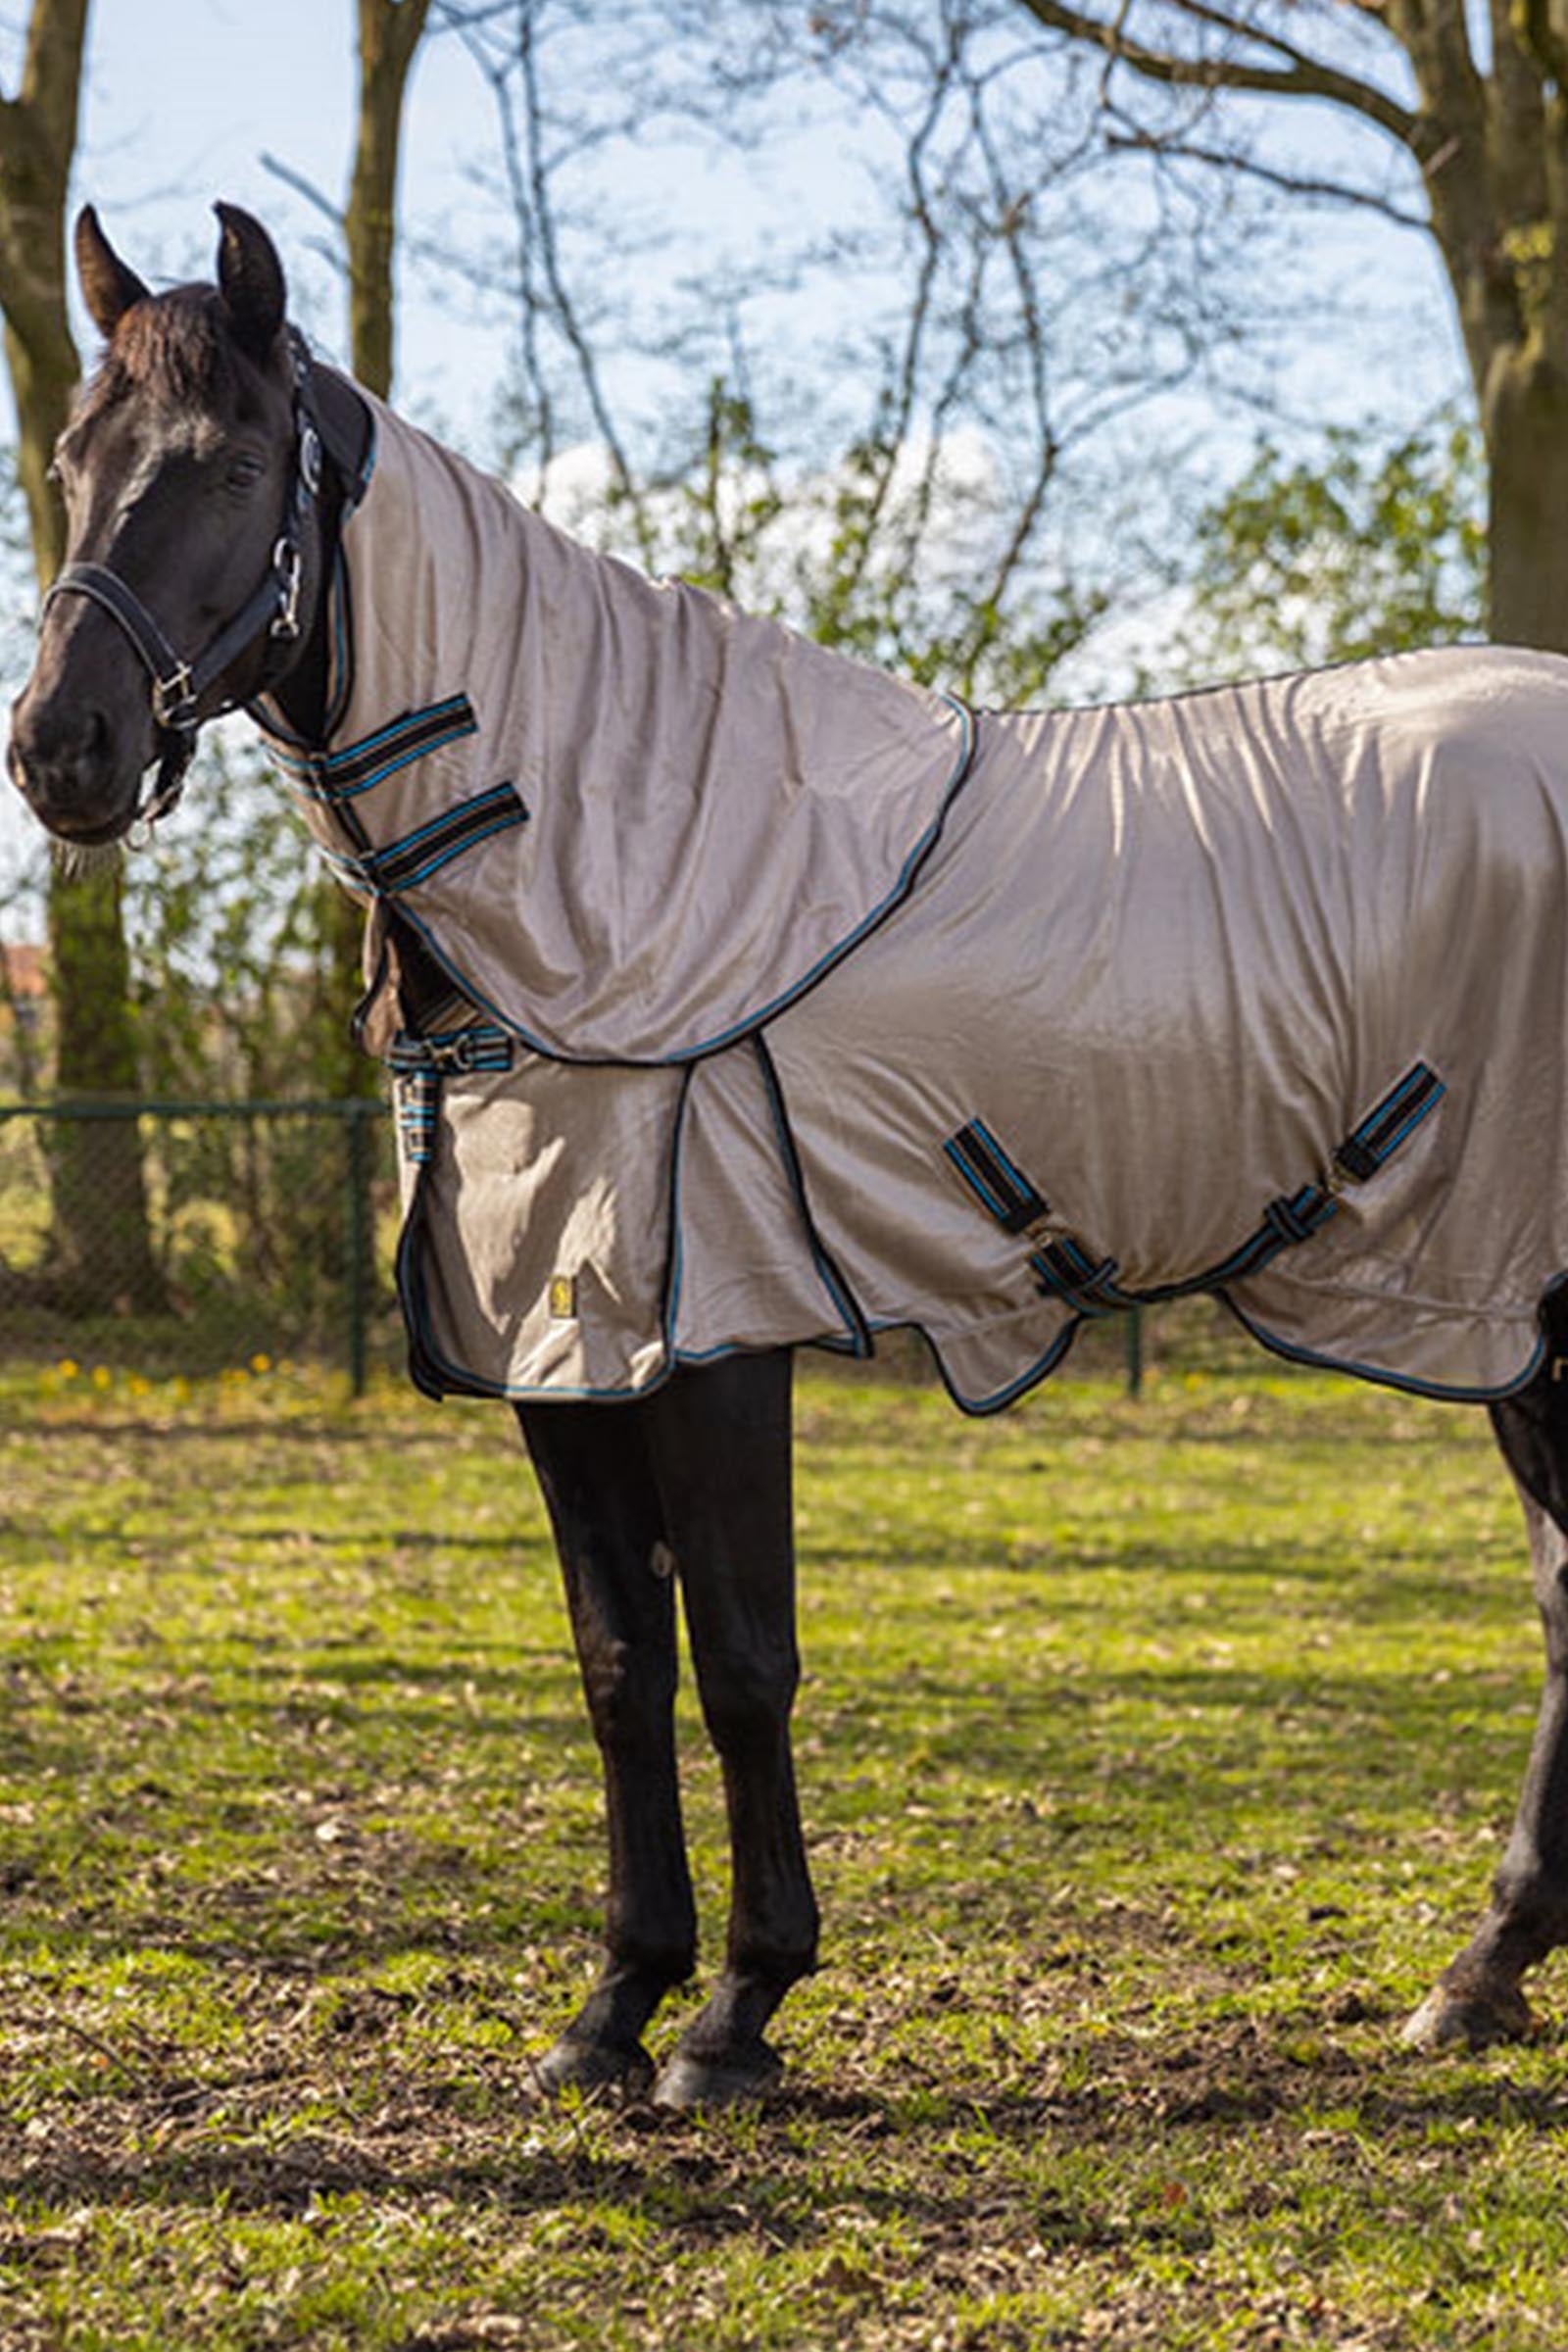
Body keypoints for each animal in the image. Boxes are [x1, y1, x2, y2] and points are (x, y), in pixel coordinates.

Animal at [12, 203, 1568, 2110]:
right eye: (73, 463)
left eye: (234, 465)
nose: (58, 752)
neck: (598, 856)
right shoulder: (559, 1346)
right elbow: (619, 1663)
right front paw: (613, 2006)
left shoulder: (717, 1330)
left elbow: (745, 1663)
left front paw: (739, 2014)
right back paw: (1482, 1976)